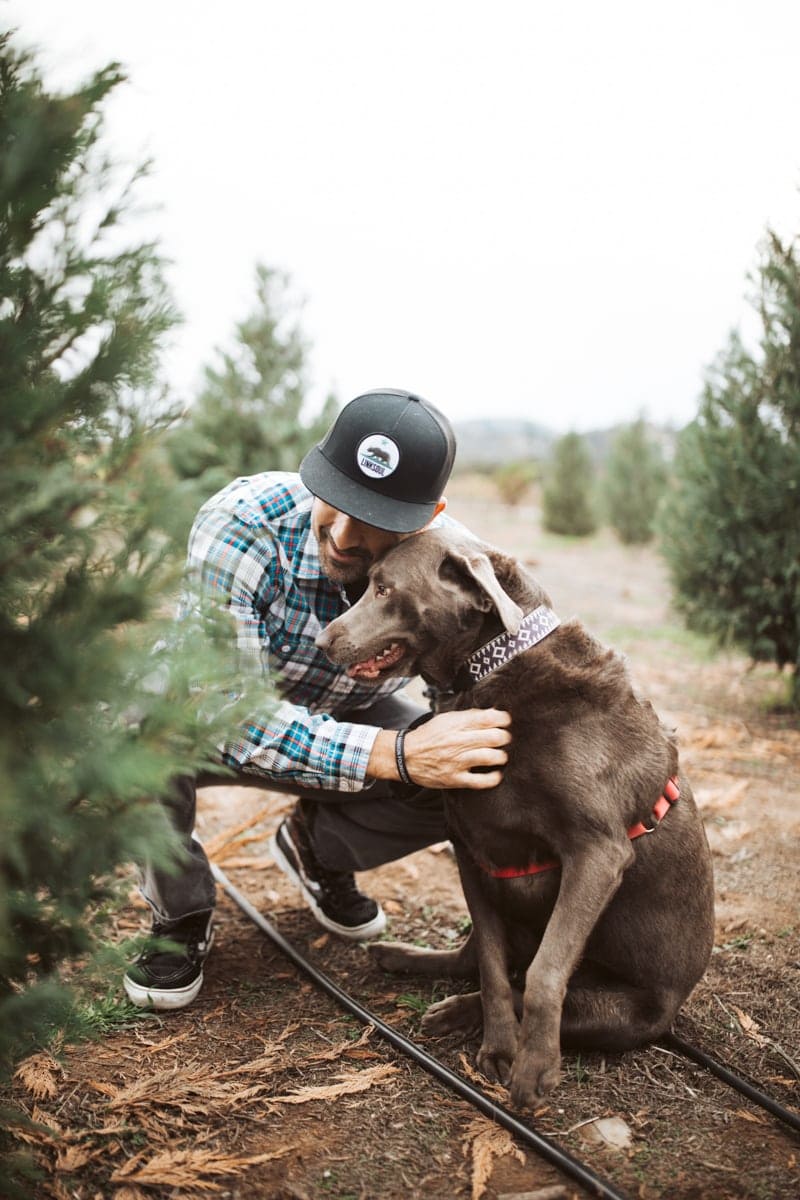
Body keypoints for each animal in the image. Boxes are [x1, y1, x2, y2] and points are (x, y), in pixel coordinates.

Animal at [311, 525, 714, 1104]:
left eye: (385, 589)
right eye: (367, 585)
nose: (322, 642)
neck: (491, 670)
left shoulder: (598, 853)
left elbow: (545, 975)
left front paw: (533, 1068)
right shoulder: (473, 854)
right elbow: (491, 967)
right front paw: (501, 1048)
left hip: (621, 1012)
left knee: (543, 987)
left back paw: (460, 1012)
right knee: (475, 962)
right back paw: (408, 962)